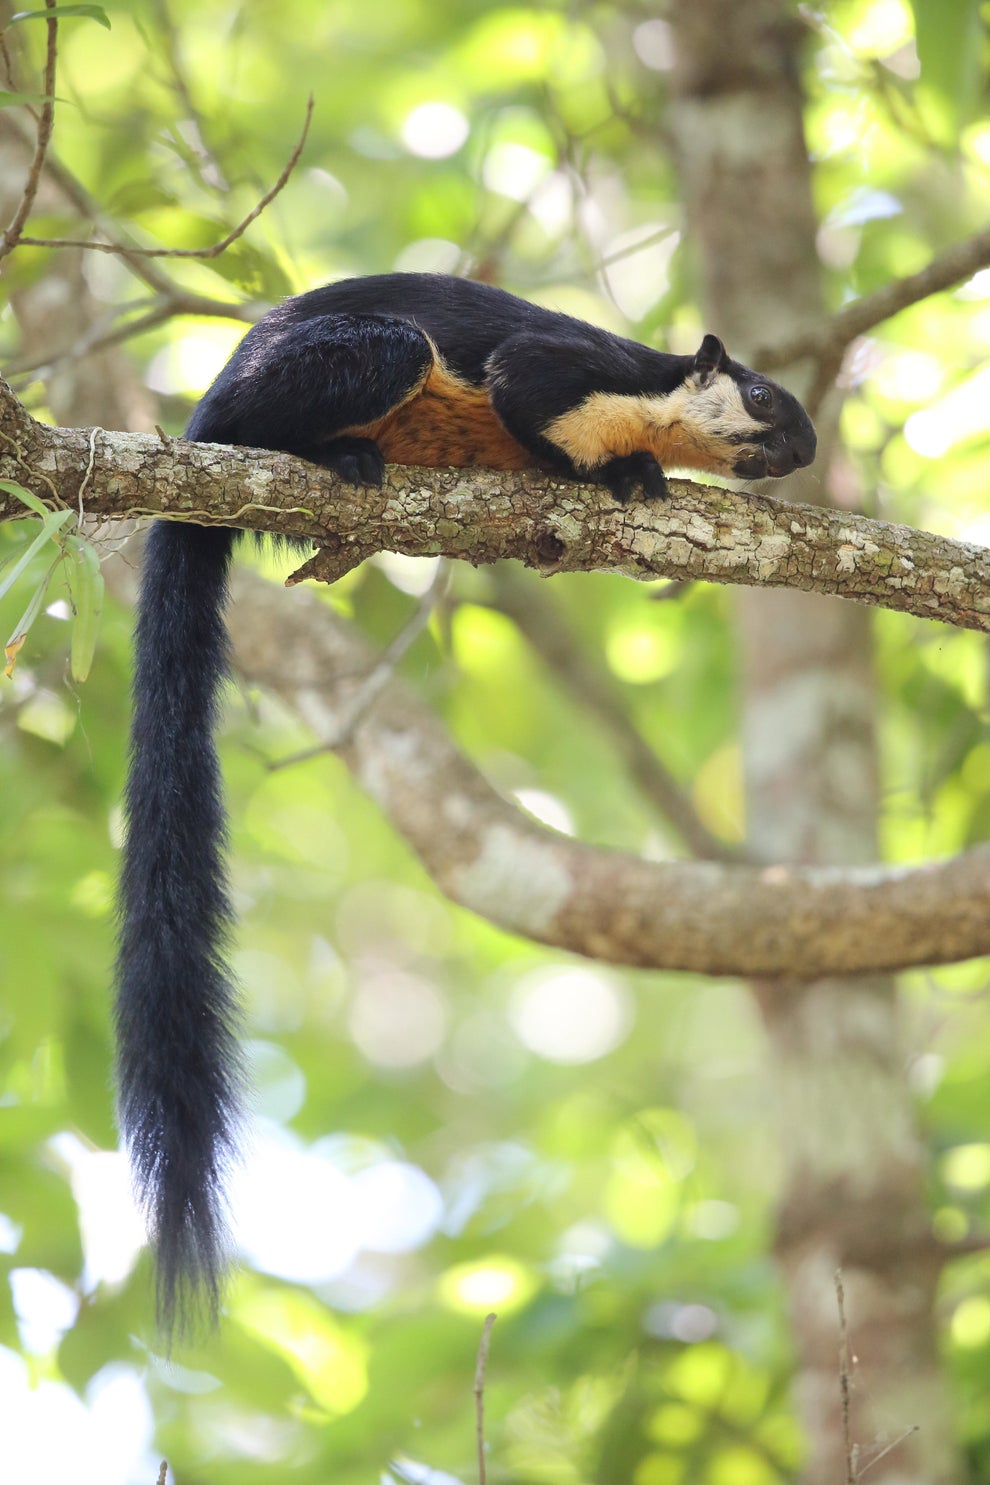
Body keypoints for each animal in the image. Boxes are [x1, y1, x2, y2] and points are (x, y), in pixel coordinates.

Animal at [113, 271, 816, 1336]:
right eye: (766, 397)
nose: (806, 450)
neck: (648, 399)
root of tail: (202, 413)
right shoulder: (567, 370)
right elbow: (526, 396)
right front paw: (613, 474)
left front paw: (636, 475)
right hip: (349, 361)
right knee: (285, 414)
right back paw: (335, 454)